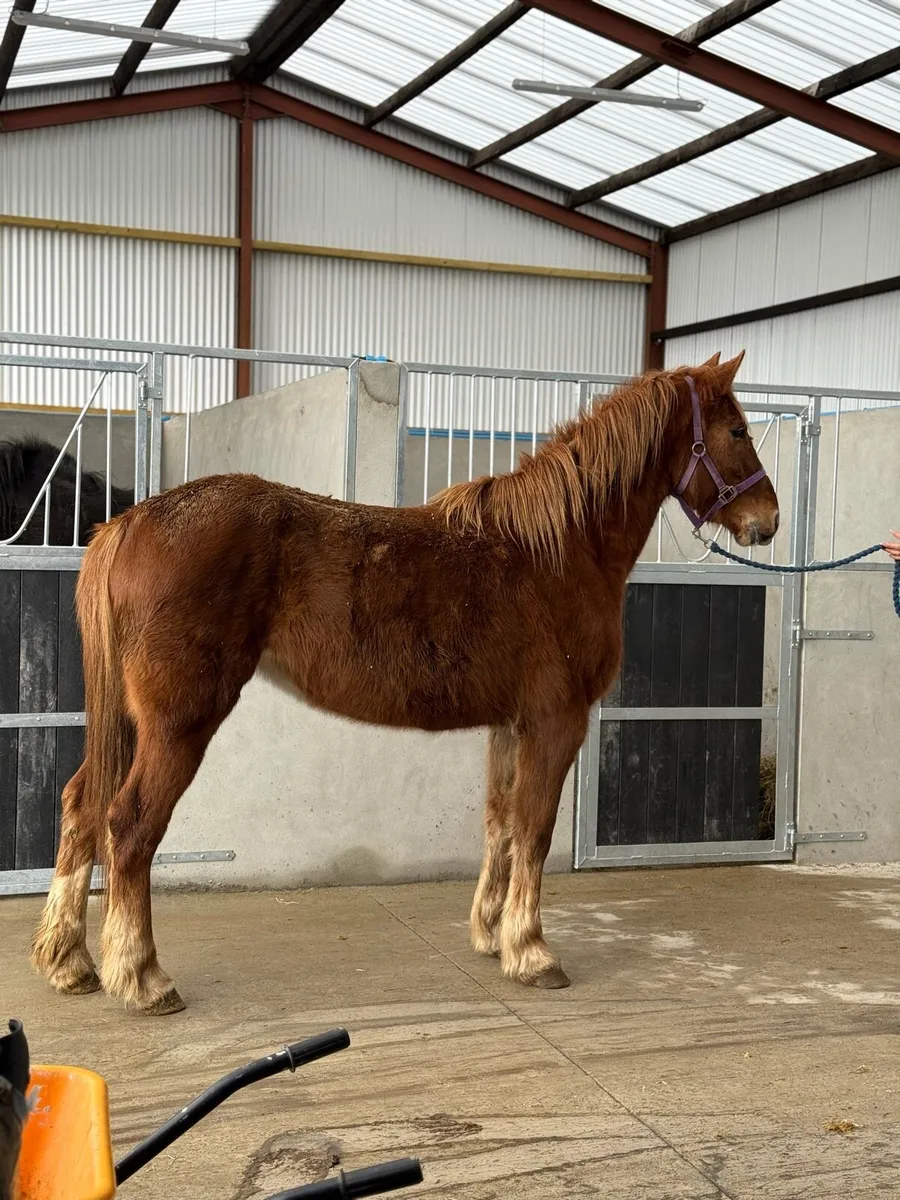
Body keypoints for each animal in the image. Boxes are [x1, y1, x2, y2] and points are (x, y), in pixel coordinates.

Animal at [30, 352, 779, 1015]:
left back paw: (70, 963)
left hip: (132, 722)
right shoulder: (556, 720)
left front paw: (491, 936)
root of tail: (131, 521)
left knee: (81, 807)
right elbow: (536, 829)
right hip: (179, 722)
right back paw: (143, 977)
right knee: (128, 826)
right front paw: (533, 953)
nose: (767, 520)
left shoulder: (511, 724)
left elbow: (502, 823)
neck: (559, 549)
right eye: (737, 432)